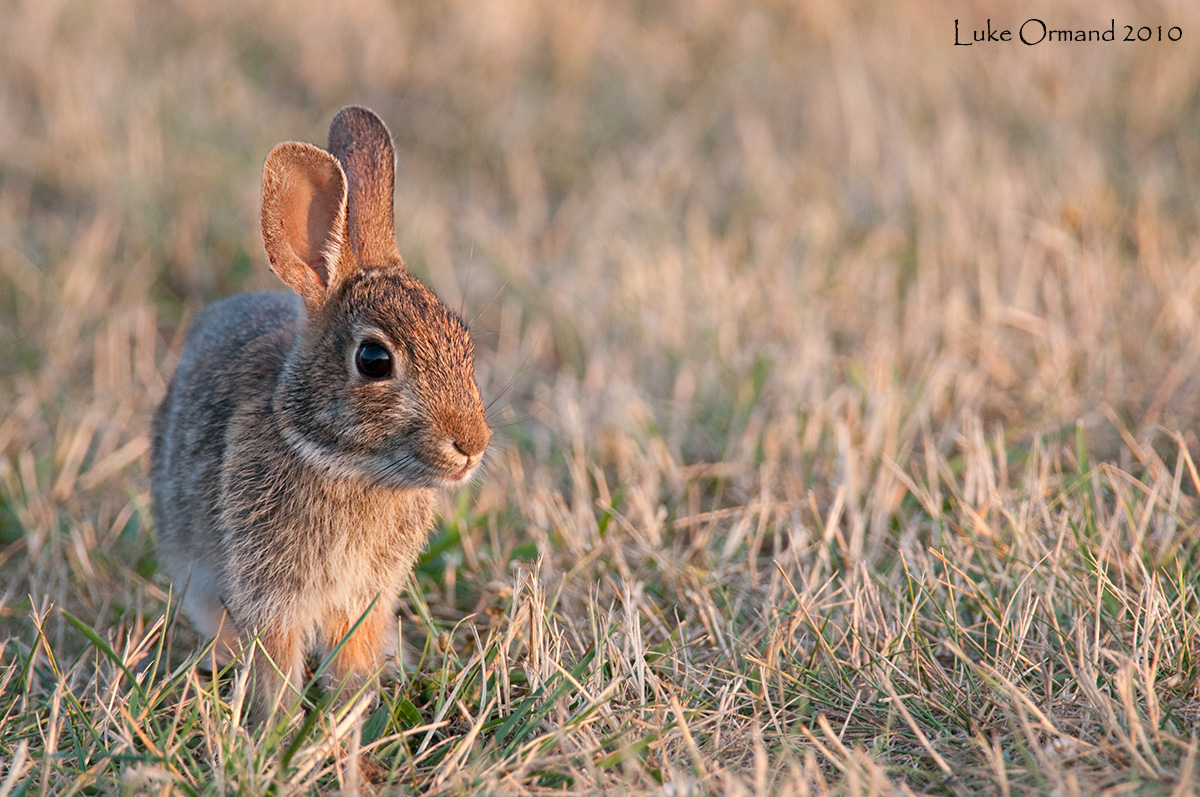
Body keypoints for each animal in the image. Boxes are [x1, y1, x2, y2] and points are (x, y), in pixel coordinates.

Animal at [150, 106, 491, 722]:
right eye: (374, 360)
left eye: (463, 340)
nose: (472, 444)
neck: (340, 463)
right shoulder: (269, 595)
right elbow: (277, 665)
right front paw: (279, 729)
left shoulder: (363, 601)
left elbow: (351, 669)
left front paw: (347, 728)